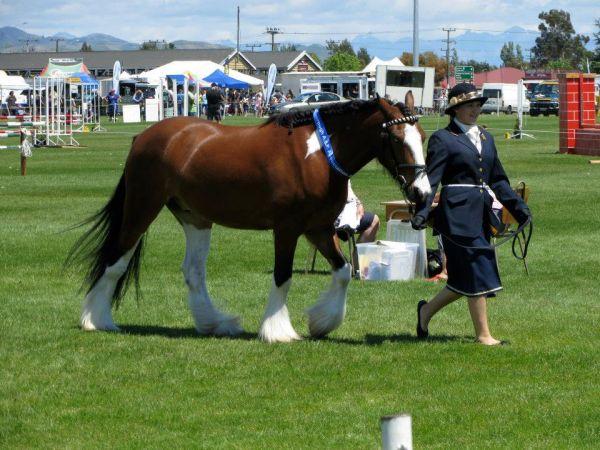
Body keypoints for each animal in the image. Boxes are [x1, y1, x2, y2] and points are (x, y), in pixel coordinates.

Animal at [68, 93, 428, 342]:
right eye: (396, 138)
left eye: (422, 136)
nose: (422, 192)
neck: (319, 155)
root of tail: (143, 137)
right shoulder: (287, 229)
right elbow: (283, 276)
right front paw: (276, 330)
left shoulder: (319, 229)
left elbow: (342, 273)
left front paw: (322, 322)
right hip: (143, 206)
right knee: (115, 260)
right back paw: (96, 320)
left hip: (195, 218)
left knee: (193, 271)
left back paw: (213, 322)